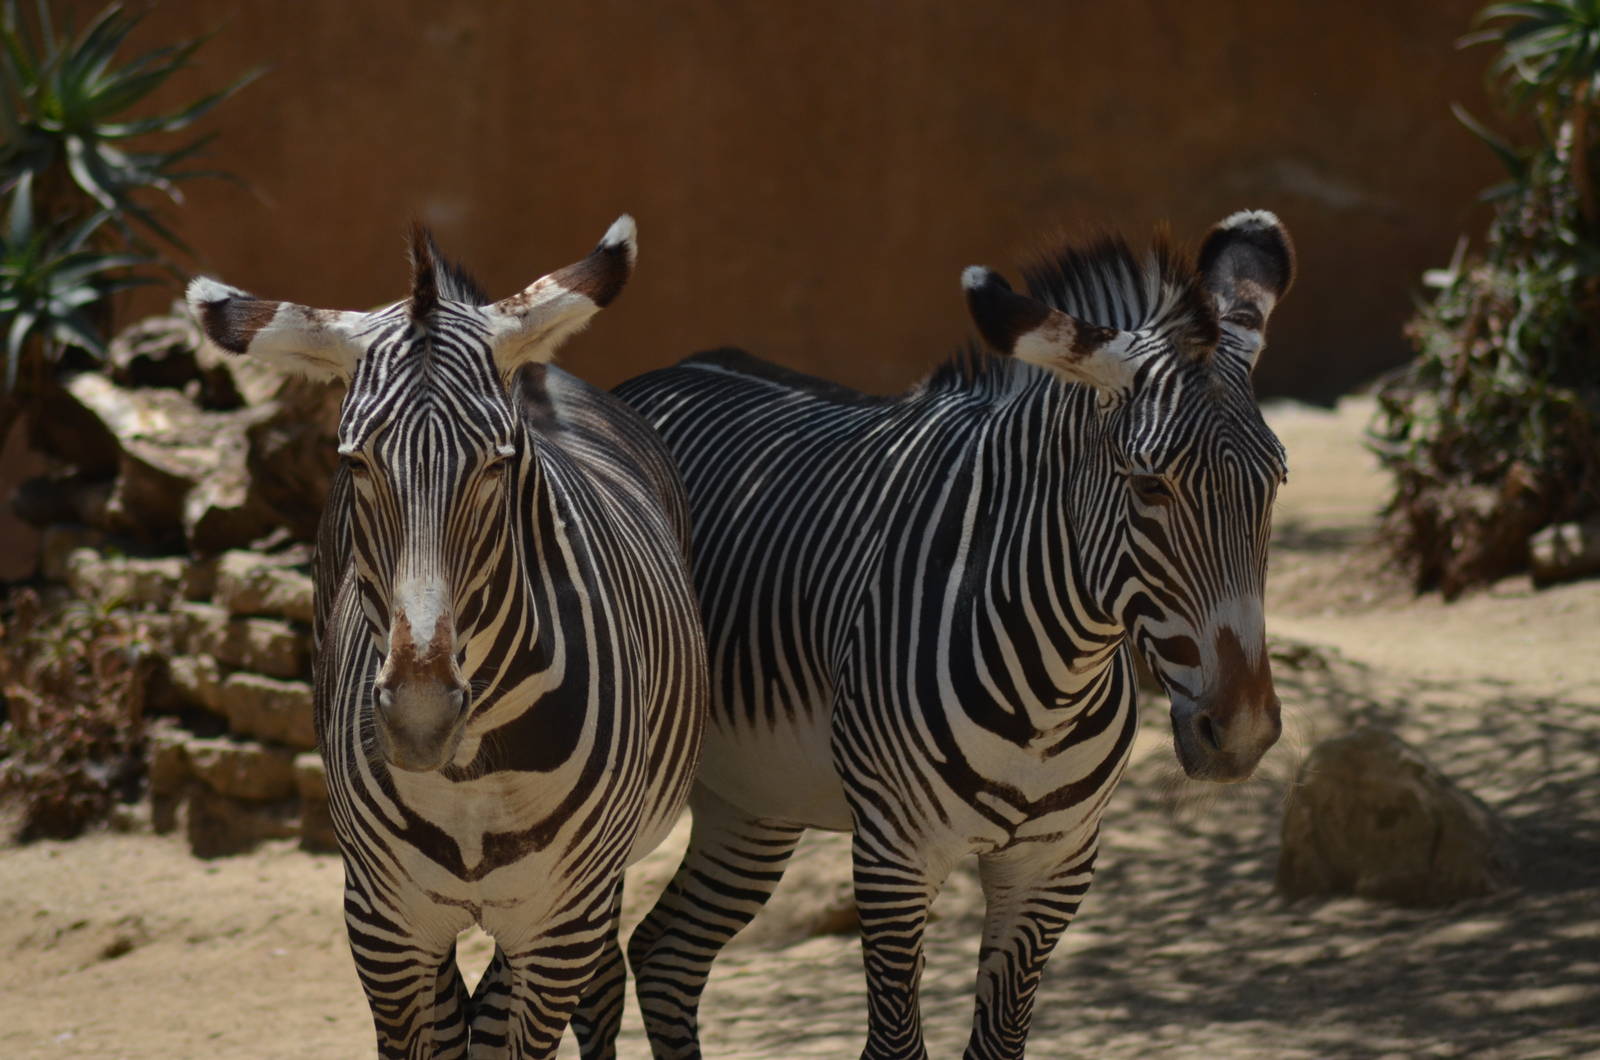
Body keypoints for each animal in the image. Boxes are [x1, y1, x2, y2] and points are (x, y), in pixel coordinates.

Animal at [187, 216, 707, 1059]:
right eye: (354, 462)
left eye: (498, 466)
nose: (420, 719)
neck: (469, 781)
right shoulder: (383, 927)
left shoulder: (560, 928)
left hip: (595, 890)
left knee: (595, 994)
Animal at [615, 210, 1294, 1059]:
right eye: (1149, 486)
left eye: (1276, 481)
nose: (1243, 732)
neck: (1055, 683)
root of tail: (651, 380)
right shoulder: (895, 856)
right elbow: (894, 1044)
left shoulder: (1054, 866)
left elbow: (1000, 1042)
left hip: (750, 801)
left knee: (663, 955)